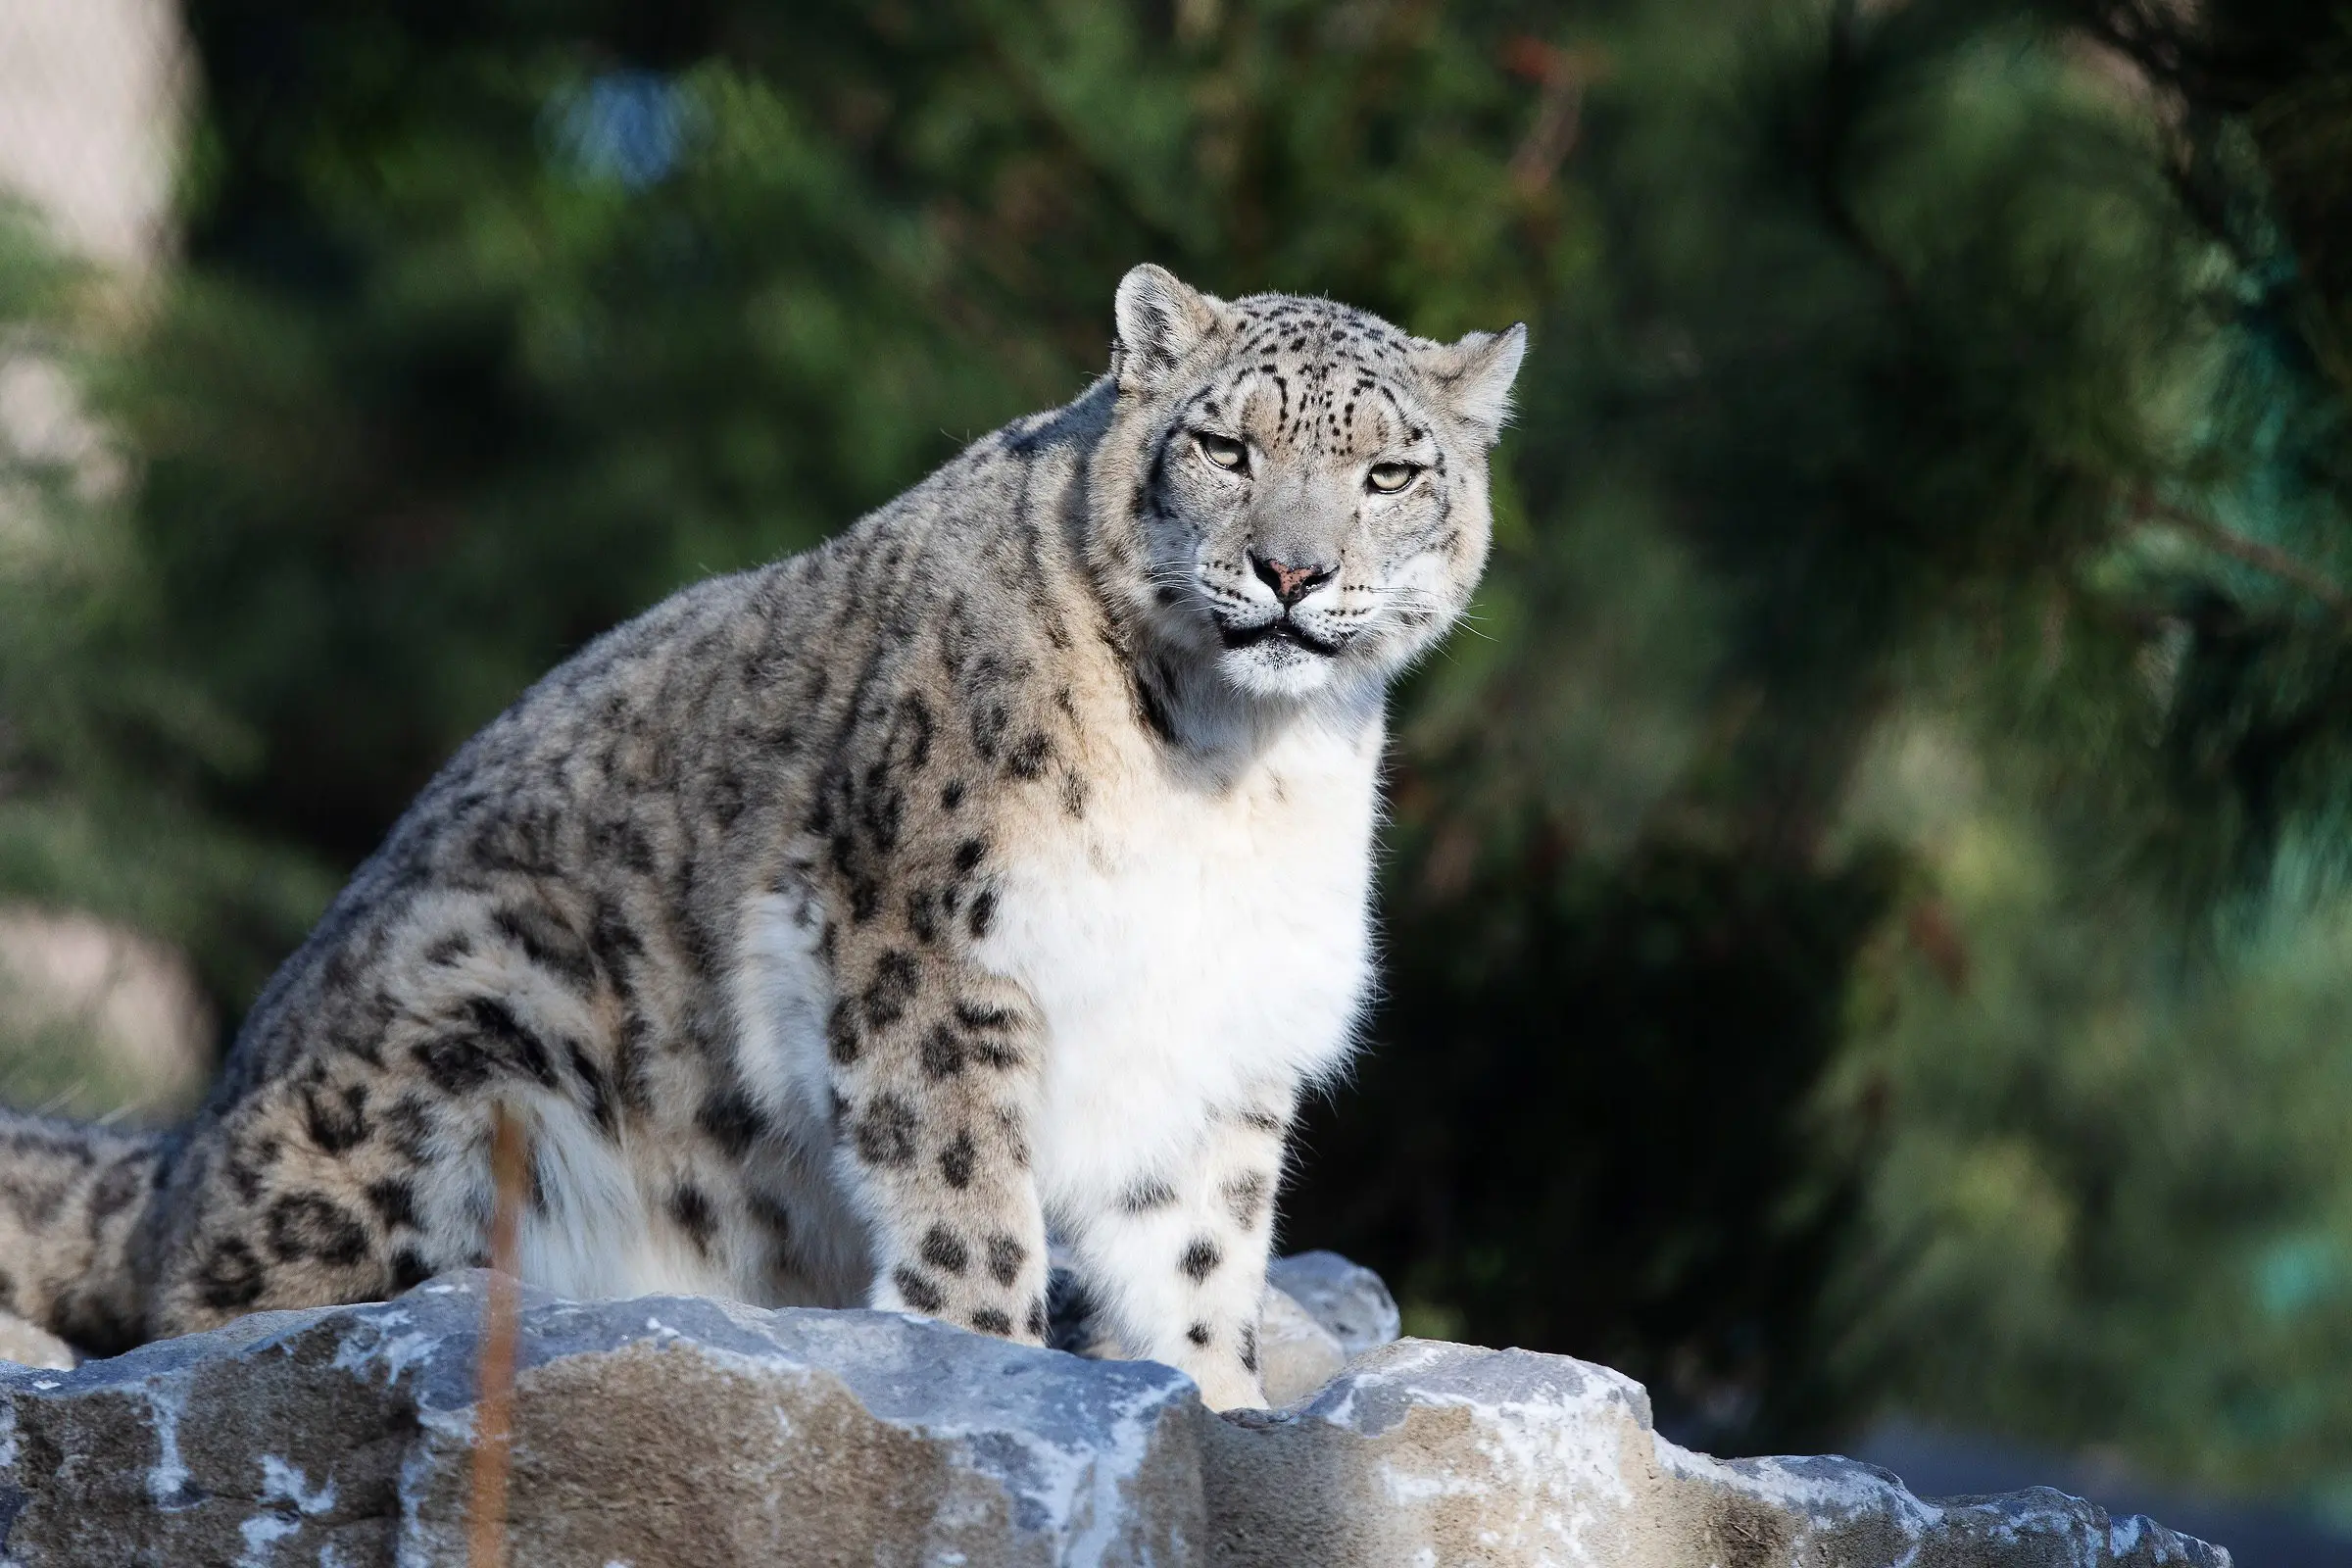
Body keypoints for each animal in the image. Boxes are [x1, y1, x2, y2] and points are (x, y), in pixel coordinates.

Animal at [0, 265, 1523, 1411]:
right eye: (1224, 446)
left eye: (1393, 471)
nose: (1291, 570)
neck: (1232, 768)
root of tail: (185, 1154)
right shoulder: (928, 950)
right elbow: (968, 1194)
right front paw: (994, 1367)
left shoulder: (1220, 1029)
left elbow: (1199, 1252)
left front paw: (1215, 1402)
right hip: (483, 1010)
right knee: (237, 1309)